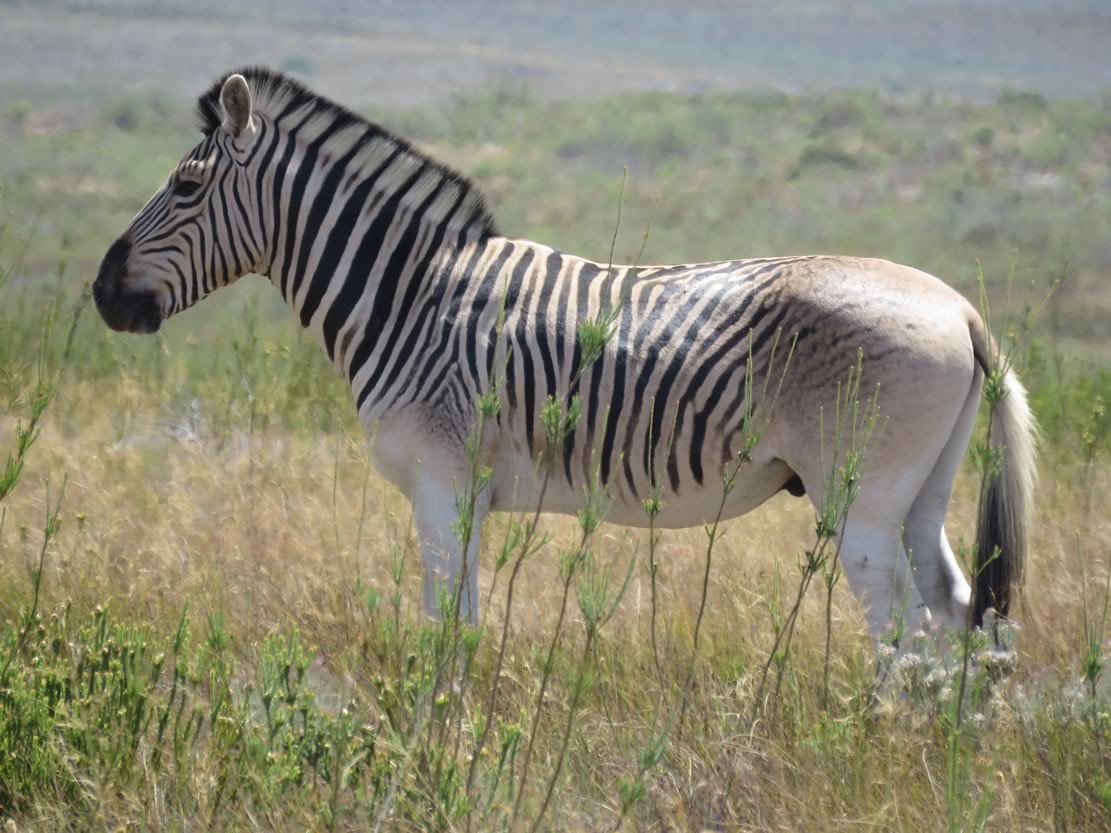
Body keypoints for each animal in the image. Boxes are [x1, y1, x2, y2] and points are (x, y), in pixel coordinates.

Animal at [91, 68, 1035, 657]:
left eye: (185, 186)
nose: (101, 292)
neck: (408, 298)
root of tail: (958, 307)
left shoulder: (442, 481)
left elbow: (447, 629)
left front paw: (438, 748)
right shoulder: (465, 491)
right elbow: (459, 626)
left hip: (861, 498)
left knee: (903, 632)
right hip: (921, 491)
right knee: (960, 614)